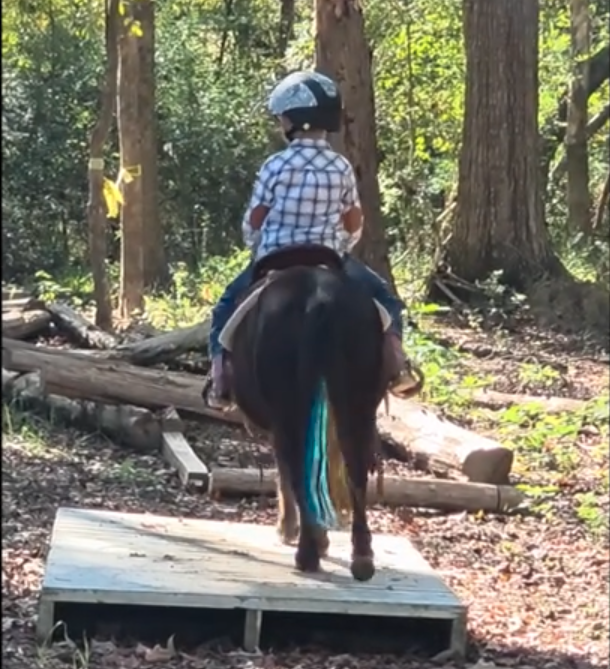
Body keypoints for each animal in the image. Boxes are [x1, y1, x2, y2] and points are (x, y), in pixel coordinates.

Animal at [212, 244, 416, 582]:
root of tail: (318, 299)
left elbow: (289, 470)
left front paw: (291, 530)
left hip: (291, 407)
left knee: (297, 466)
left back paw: (306, 553)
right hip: (358, 404)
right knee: (355, 467)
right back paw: (361, 558)